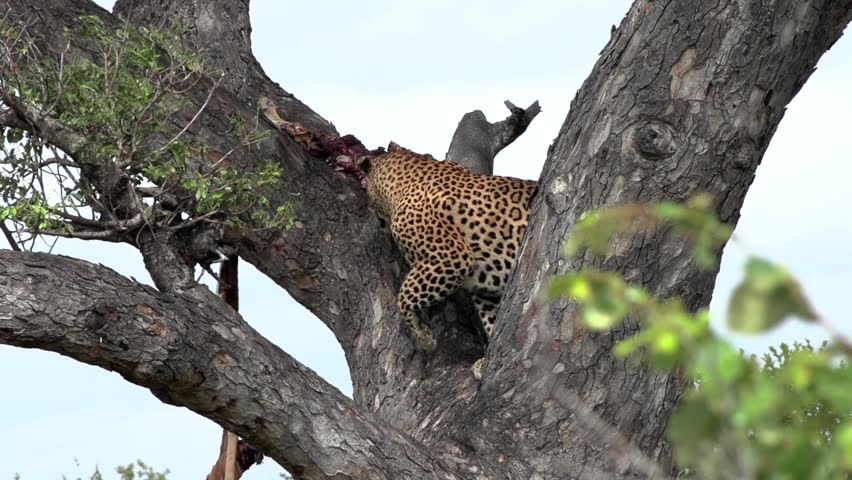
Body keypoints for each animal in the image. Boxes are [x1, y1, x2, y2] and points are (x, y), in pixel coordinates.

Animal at [359, 148, 535, 379]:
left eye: (364, 187)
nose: (374, 217)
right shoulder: (485, 287)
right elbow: (494, 319)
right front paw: (486, 361)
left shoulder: (449, 258)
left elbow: (404, 296)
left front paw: (424, 337)